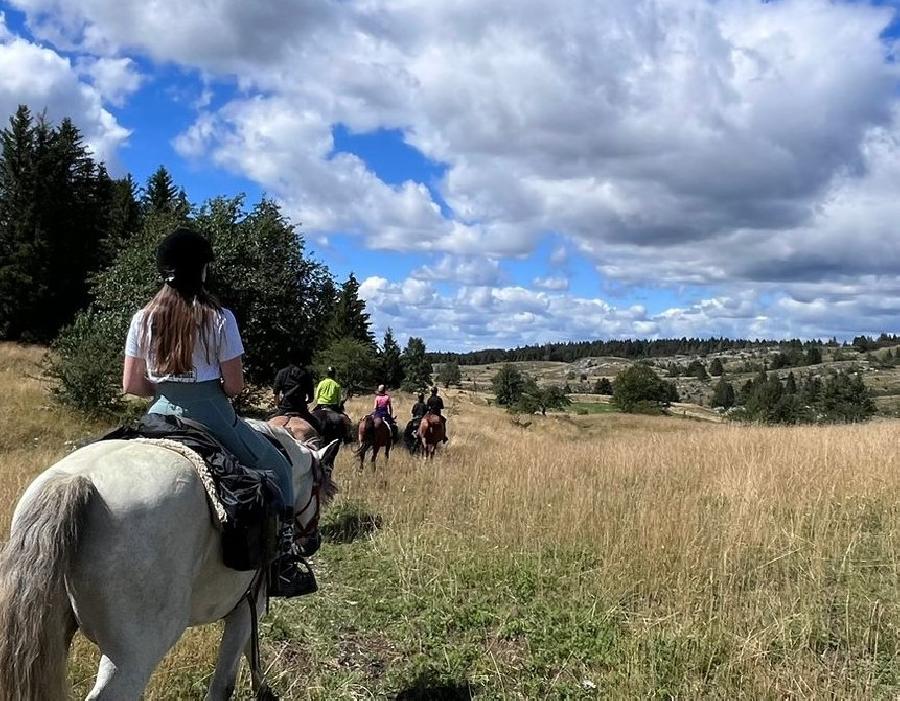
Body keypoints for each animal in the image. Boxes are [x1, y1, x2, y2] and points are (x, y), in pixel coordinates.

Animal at [0, 422, 340, 700]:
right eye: (320, 491)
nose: (313, 543)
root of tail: (77, 480)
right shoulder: (248, 604)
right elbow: (227, 678)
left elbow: (249, 651)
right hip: (133, 658)